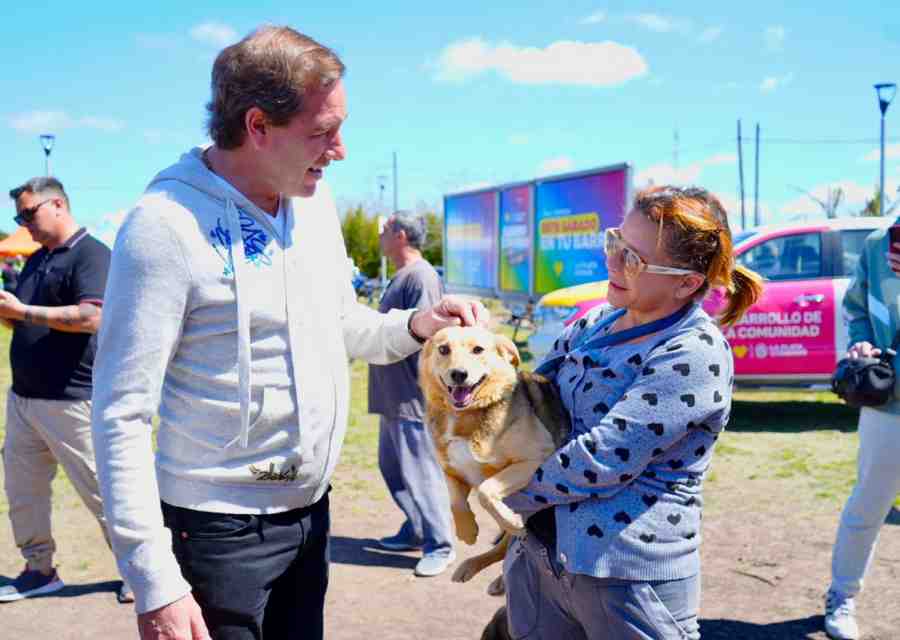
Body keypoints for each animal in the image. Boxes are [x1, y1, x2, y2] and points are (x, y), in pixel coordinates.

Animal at [419, 325, 570, 586]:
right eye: (443, 349)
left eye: (478, 350)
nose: (458, 374)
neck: (464, 415)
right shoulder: (451, 470)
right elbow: (455, 502)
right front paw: (467, 531)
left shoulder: (535, 457)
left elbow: (485, 491)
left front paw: (510, 520)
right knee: (501, 550)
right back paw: (471, 567)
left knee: (504, 546)